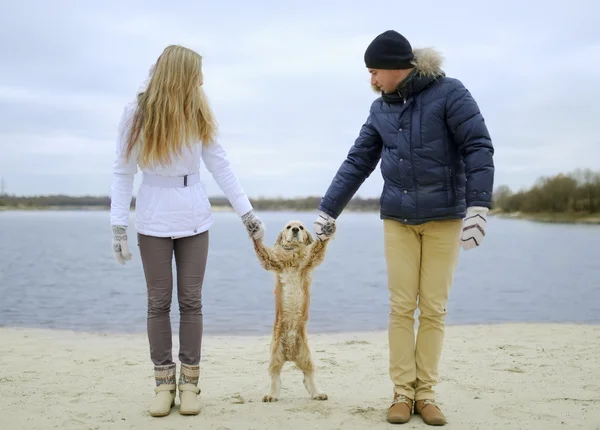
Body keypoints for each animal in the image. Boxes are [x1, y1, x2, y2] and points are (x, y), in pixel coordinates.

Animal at [251, 218, 336, 404]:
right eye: (289, 227)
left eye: (301, 227)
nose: (296, 230)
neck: (292, 257)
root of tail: (290, 353)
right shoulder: (273, 261)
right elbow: (261, 249)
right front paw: (253, 229)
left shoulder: (309, 260)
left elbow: (318, 246)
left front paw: (327, 229)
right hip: (275, 355)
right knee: (276, 378)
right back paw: (271, 395)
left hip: (306, 356)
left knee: (308, 377)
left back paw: (318, 393)